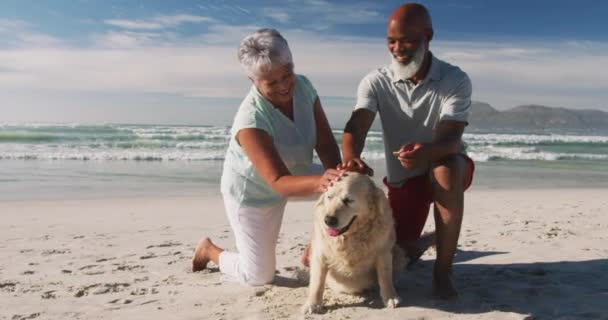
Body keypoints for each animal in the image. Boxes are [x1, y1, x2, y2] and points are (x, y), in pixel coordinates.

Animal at [302, 171, 406, 314]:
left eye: (348, 200)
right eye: (329, 197)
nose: (328, 220)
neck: (350, 236)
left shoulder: (383, 252)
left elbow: (385, 276)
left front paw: (390, 297)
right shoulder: (319, 254)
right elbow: (317, 281)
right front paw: (312, 304)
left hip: (398, 252)